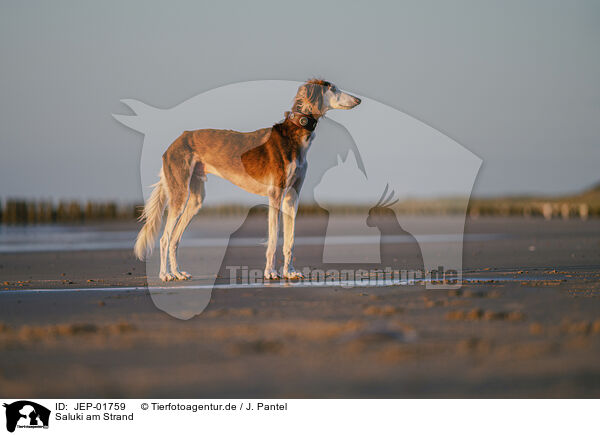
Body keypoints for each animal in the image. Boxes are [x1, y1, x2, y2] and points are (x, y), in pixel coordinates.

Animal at [135, 79, 360, 282]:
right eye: (333, 88)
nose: (358, 100)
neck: (294, 136)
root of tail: (174, 143)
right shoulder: (275, 194)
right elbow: (273, 239)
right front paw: (271, 272)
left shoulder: (292, 196)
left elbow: (290, 241)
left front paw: (290, 272)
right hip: (179, 194)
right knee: (164, 238)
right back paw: (165, 275)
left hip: (195, 199)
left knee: (174, 239)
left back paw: (178, 273)